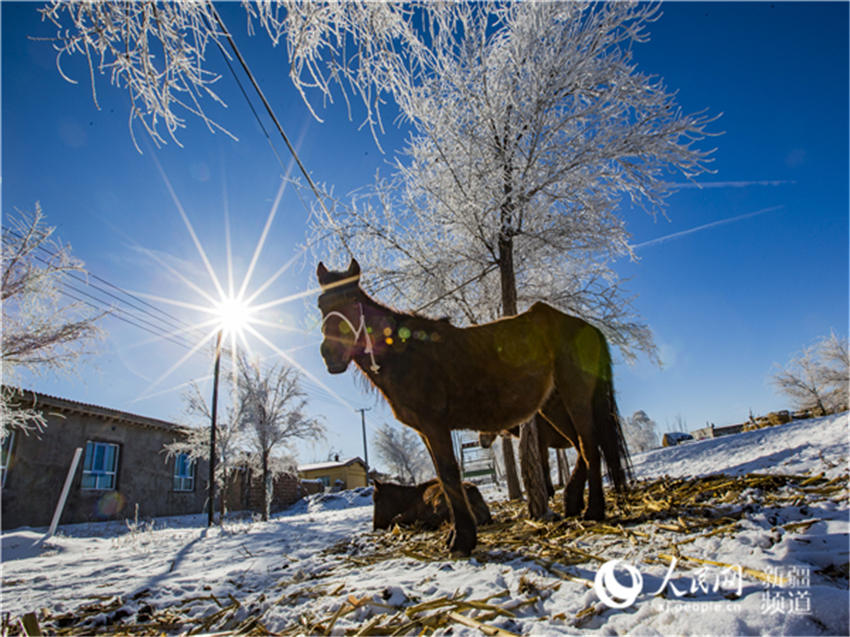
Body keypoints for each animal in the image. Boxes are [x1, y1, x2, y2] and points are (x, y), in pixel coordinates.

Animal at [318, 258, 628, 552]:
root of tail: (585, 326)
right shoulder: (424, 431)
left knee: (589, 447)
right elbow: (444, 479)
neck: (407, 353)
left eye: (354, 302)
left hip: (575, 398)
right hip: (555, 409)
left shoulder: (435, 425)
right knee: (582, 448)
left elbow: (449, 475)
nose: (330, 353)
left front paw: (463, 539)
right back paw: (574, 504)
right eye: (321, 305)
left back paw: (594, 511)